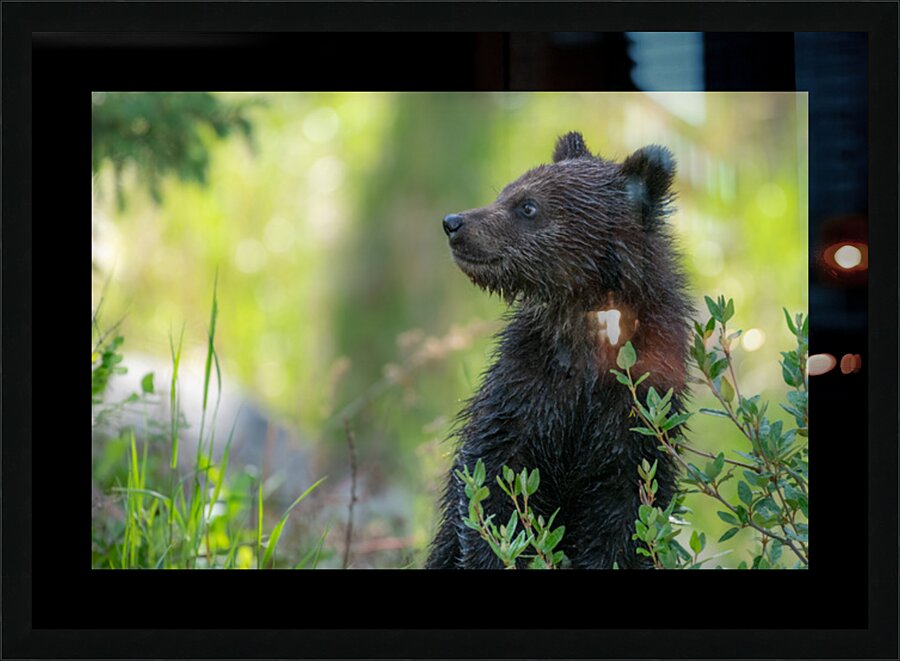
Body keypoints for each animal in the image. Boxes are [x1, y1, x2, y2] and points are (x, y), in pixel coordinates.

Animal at [426, 131, 692, 569]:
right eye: (506, 191)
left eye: (528, 206)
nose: (454, 223)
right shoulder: (526, 388)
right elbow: (493, 486)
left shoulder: (636, 408)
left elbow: (625, 514)